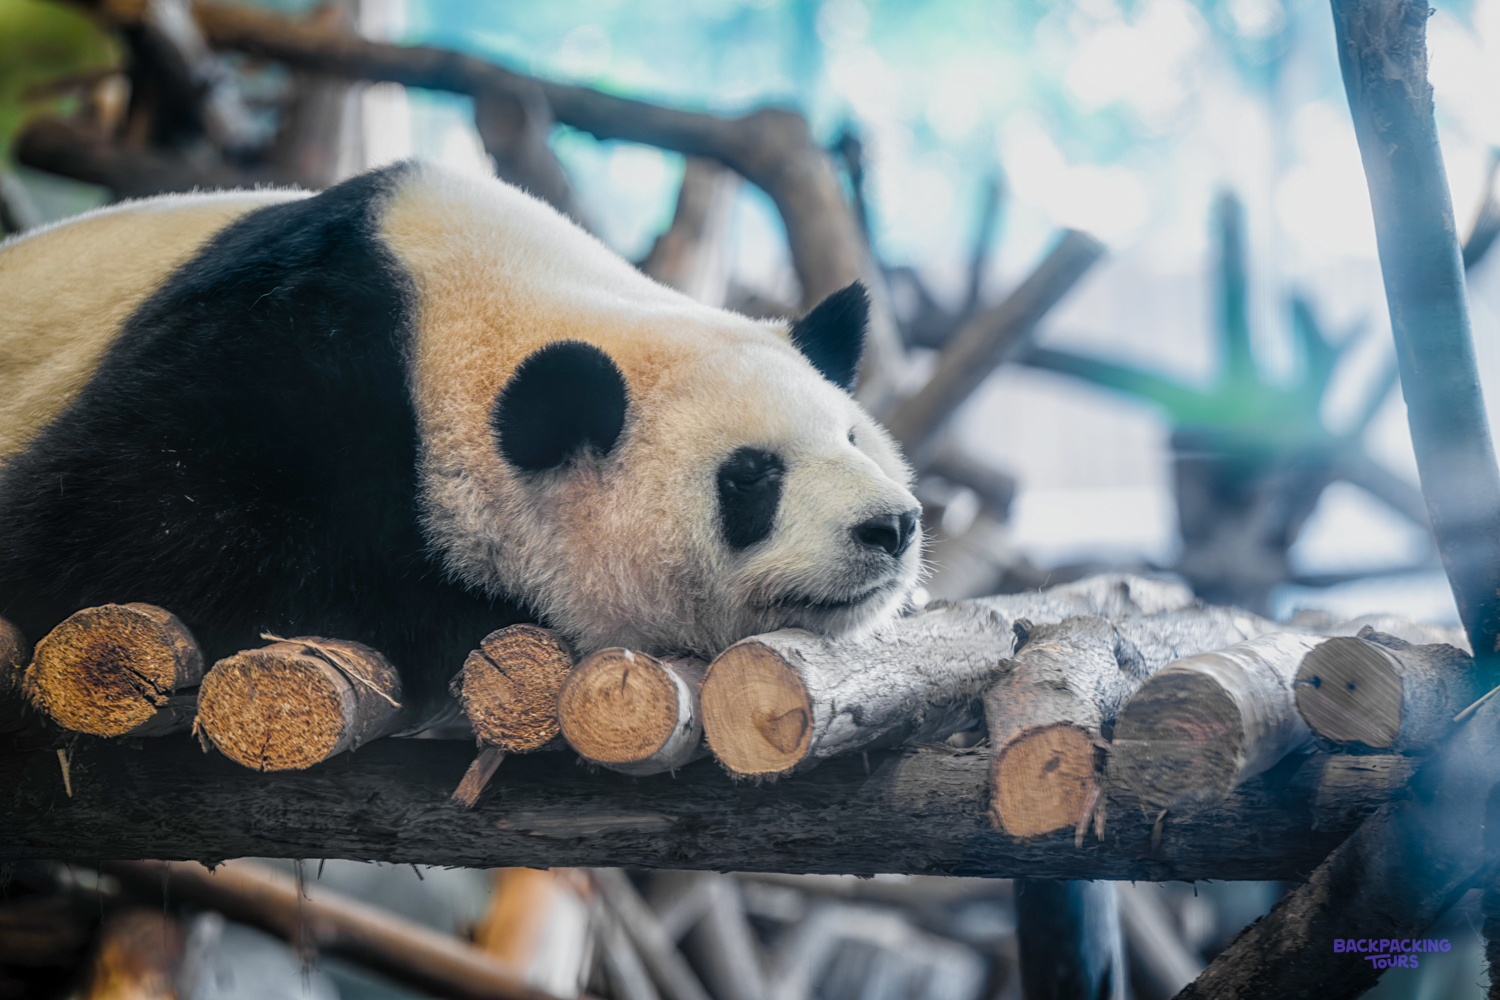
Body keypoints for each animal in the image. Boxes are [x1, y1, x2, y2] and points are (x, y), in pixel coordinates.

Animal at [0, 161, 922, 719]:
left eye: (853, 438)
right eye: (751, 477)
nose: (892, 526)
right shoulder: (272, 358)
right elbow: (109, 541)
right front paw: (462, 619)